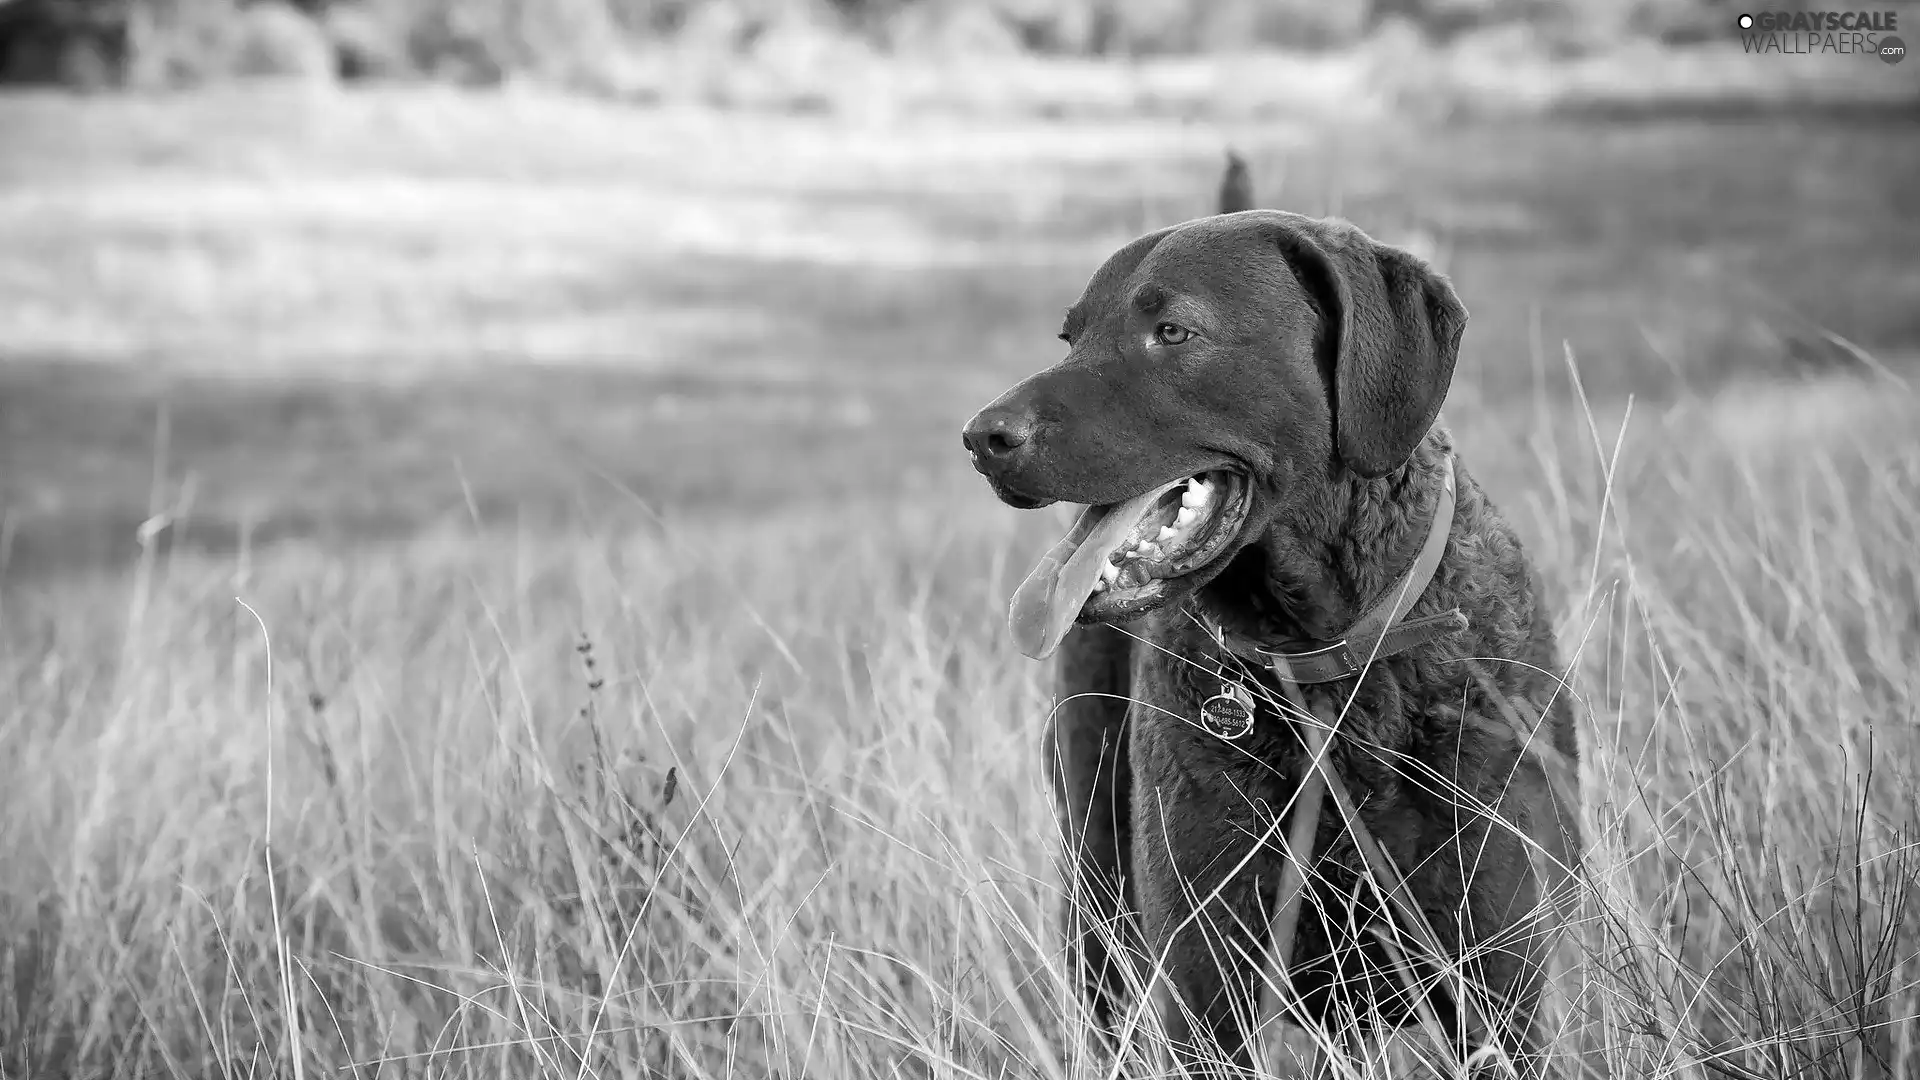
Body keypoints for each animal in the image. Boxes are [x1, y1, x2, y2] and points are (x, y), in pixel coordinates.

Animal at [960, 161, 1574, 1076]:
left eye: (1173, 330)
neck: (1328, 665)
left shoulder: (1502, 979)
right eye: (1071, 338)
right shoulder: (1207, 987)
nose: (981, 437)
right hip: (1094, 885)